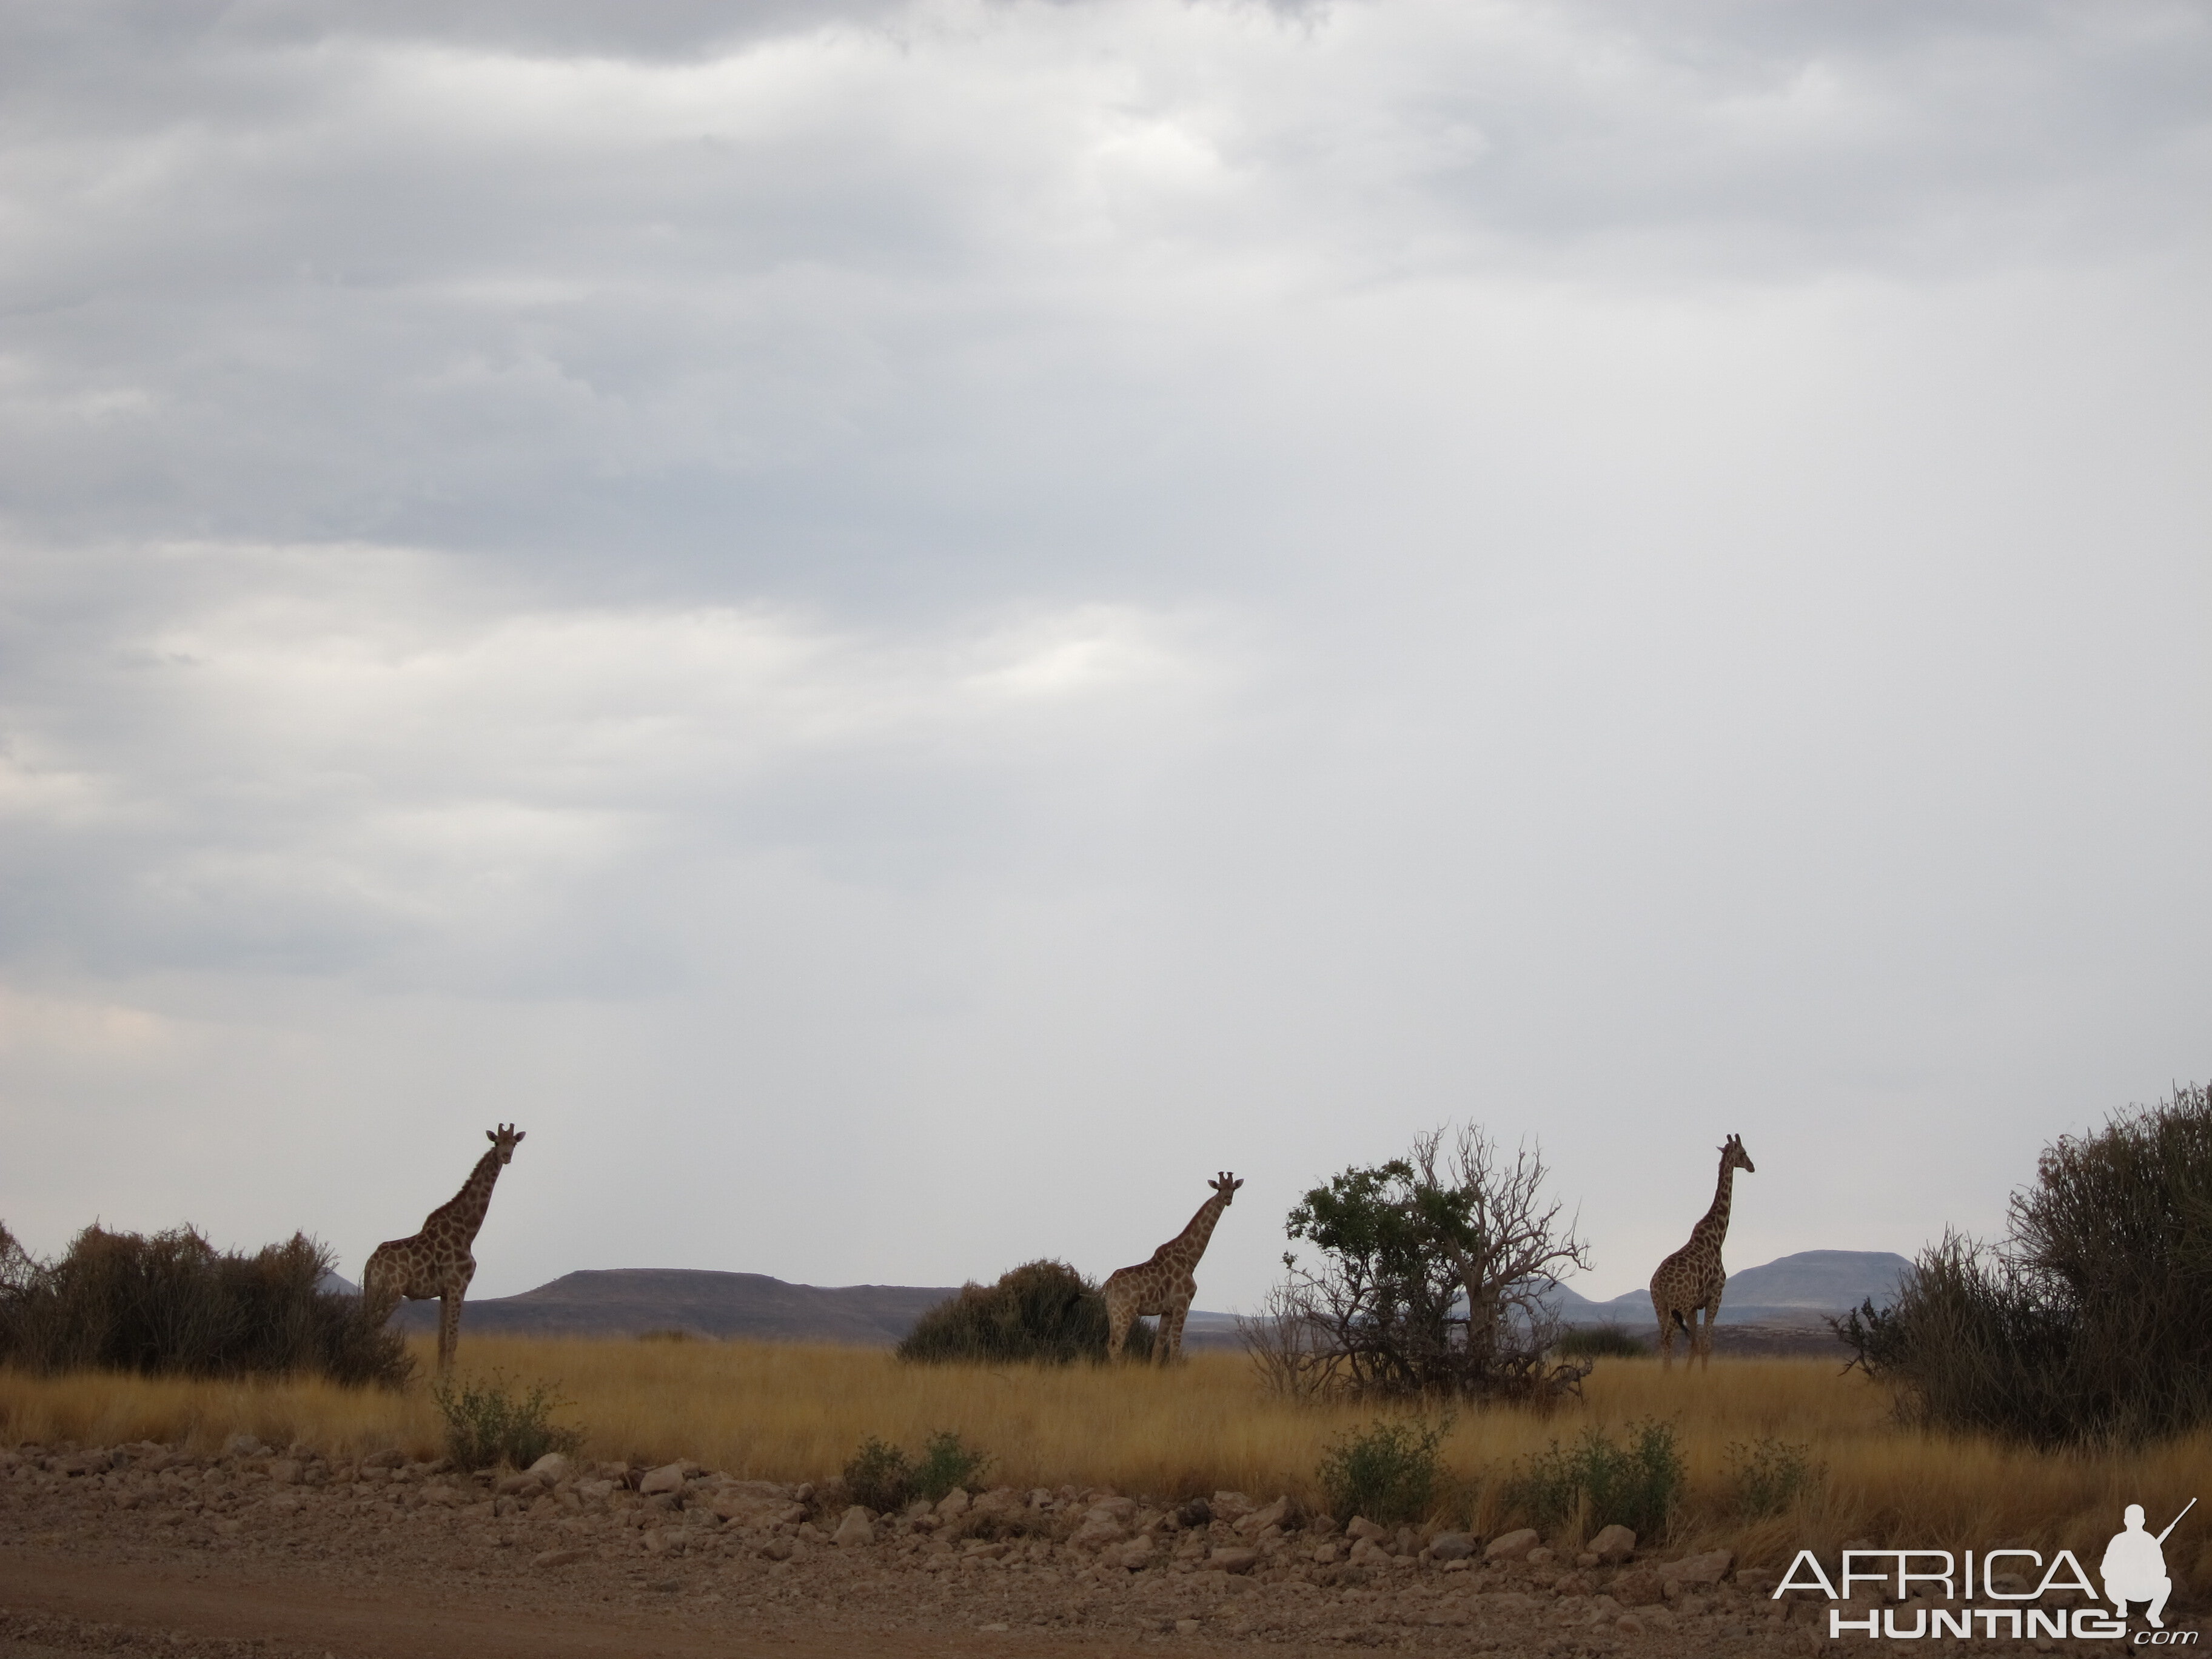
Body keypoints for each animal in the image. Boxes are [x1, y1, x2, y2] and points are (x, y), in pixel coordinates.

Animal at [371, 1132, 531, 1380]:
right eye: (497, 1142)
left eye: (514, 1143)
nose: (506, 1157)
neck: (467, 1231)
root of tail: (371, 1262)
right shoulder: (459, 1286)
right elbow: (453, 1339)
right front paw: (449, 1381)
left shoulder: (445, 1292)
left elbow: (442, 1341)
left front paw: (439, 1379)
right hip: (390, 1291)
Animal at [1106, 1168, 1247, 1362]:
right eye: (1219, 1188)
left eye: (1233, 1188)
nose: (1228, 1199)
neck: (1189, 1260)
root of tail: (1107, 1286)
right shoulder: (1182, 1304)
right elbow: (1174, 1350)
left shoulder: (1167, 1311)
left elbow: (1157, 1349)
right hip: (1125, 1311)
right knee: (1116, 1348)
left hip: (1112, 1313)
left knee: (1110, 1345)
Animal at [1654, 1132, 1752, 1380]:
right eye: (1744, 1152)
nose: (1752, 1167)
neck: (1717, 1238)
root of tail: (1658, 1284)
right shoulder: (1716, 1295)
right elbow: (1706, 1344)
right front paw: (1705, 1377)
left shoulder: (1693, 1306)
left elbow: (1695, 1344)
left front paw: (1690, 1376)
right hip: (1677, 1304)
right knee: (1668, 1338)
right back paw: (1667, 1377)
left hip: (1661, 1305)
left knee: (1662, 1339)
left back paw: (1665, 1375)